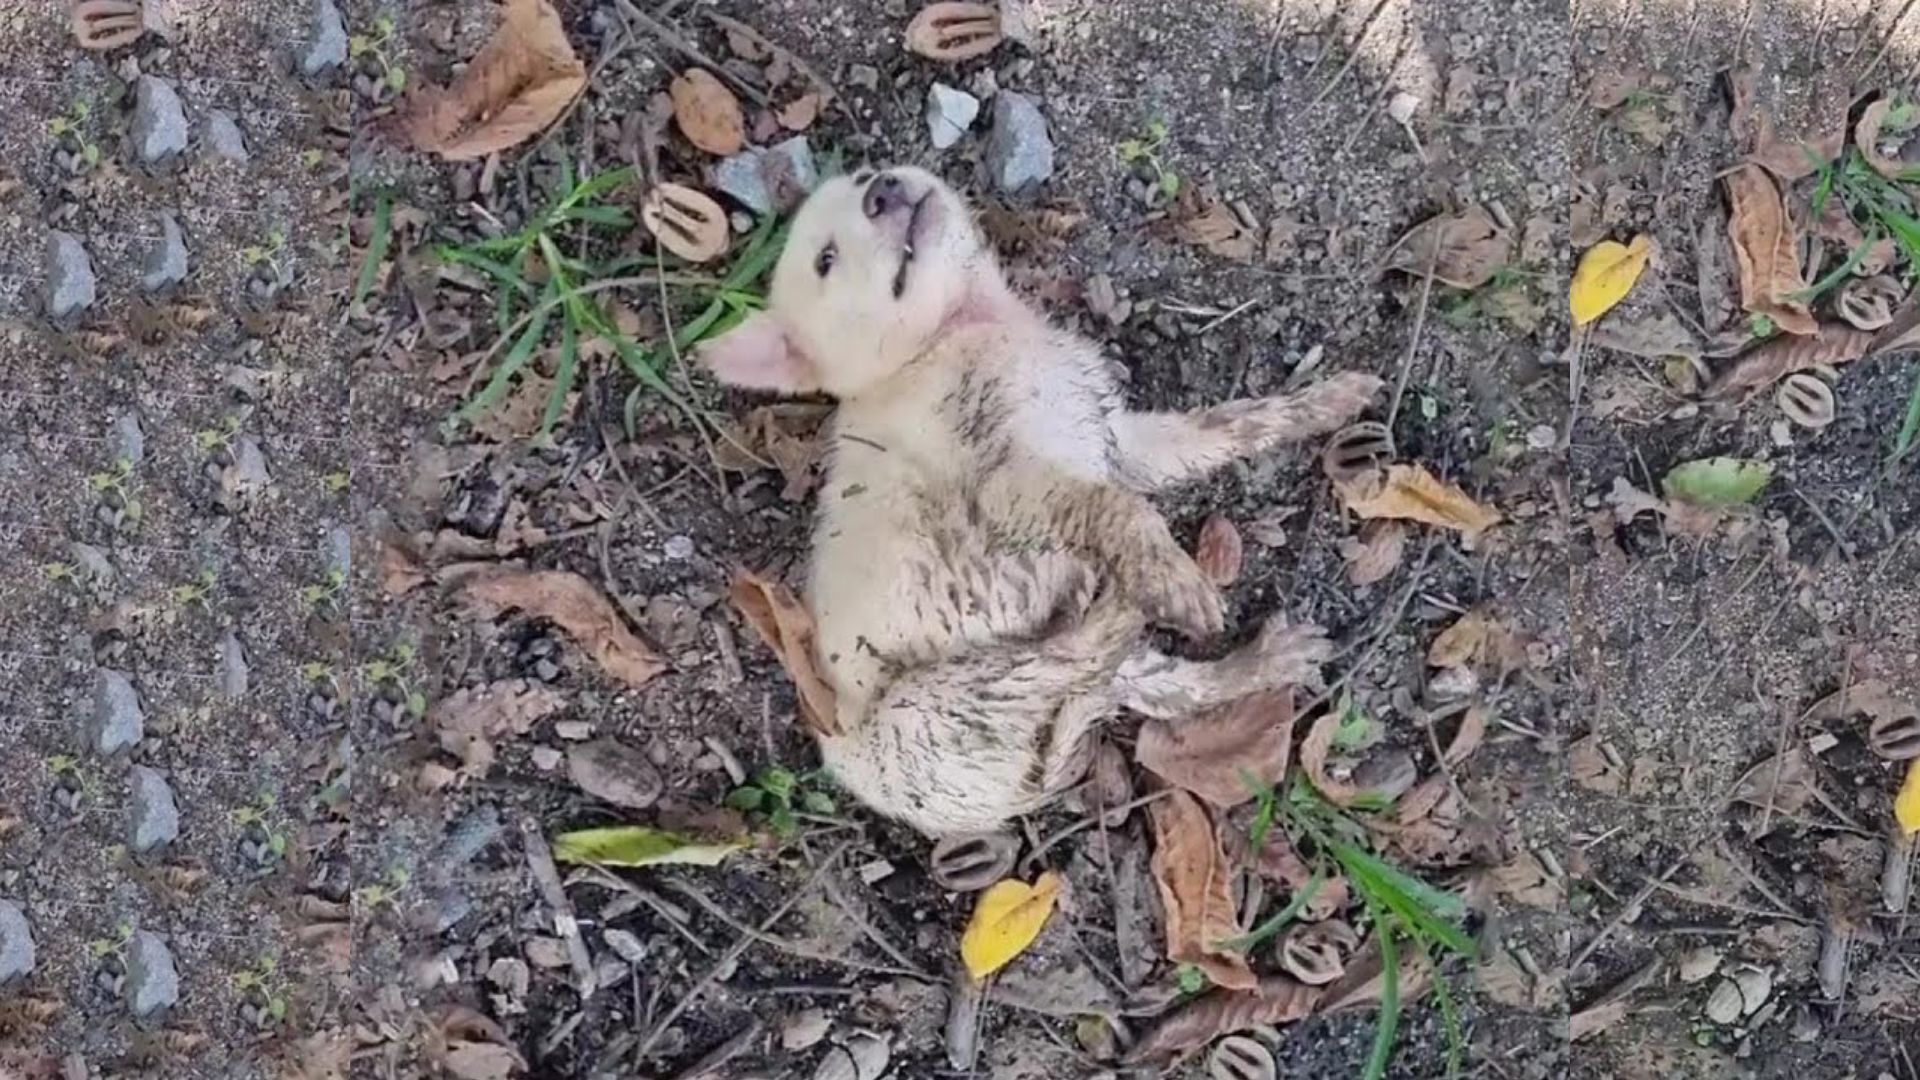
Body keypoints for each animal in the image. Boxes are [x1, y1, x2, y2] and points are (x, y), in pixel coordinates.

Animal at [706, 168, 1382, 837]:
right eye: (826, 260)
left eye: (864, 178)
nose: (883, 188)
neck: (964, 327)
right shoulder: (1005, 491)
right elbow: (1117, 508)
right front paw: (1175, 581)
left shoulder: (1113, 437)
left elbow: (1225, 426)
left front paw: (1327, 401)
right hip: (961, 692)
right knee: (1080, 655)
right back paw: (1125, 605)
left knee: (1158, 687)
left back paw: (1268, 658)